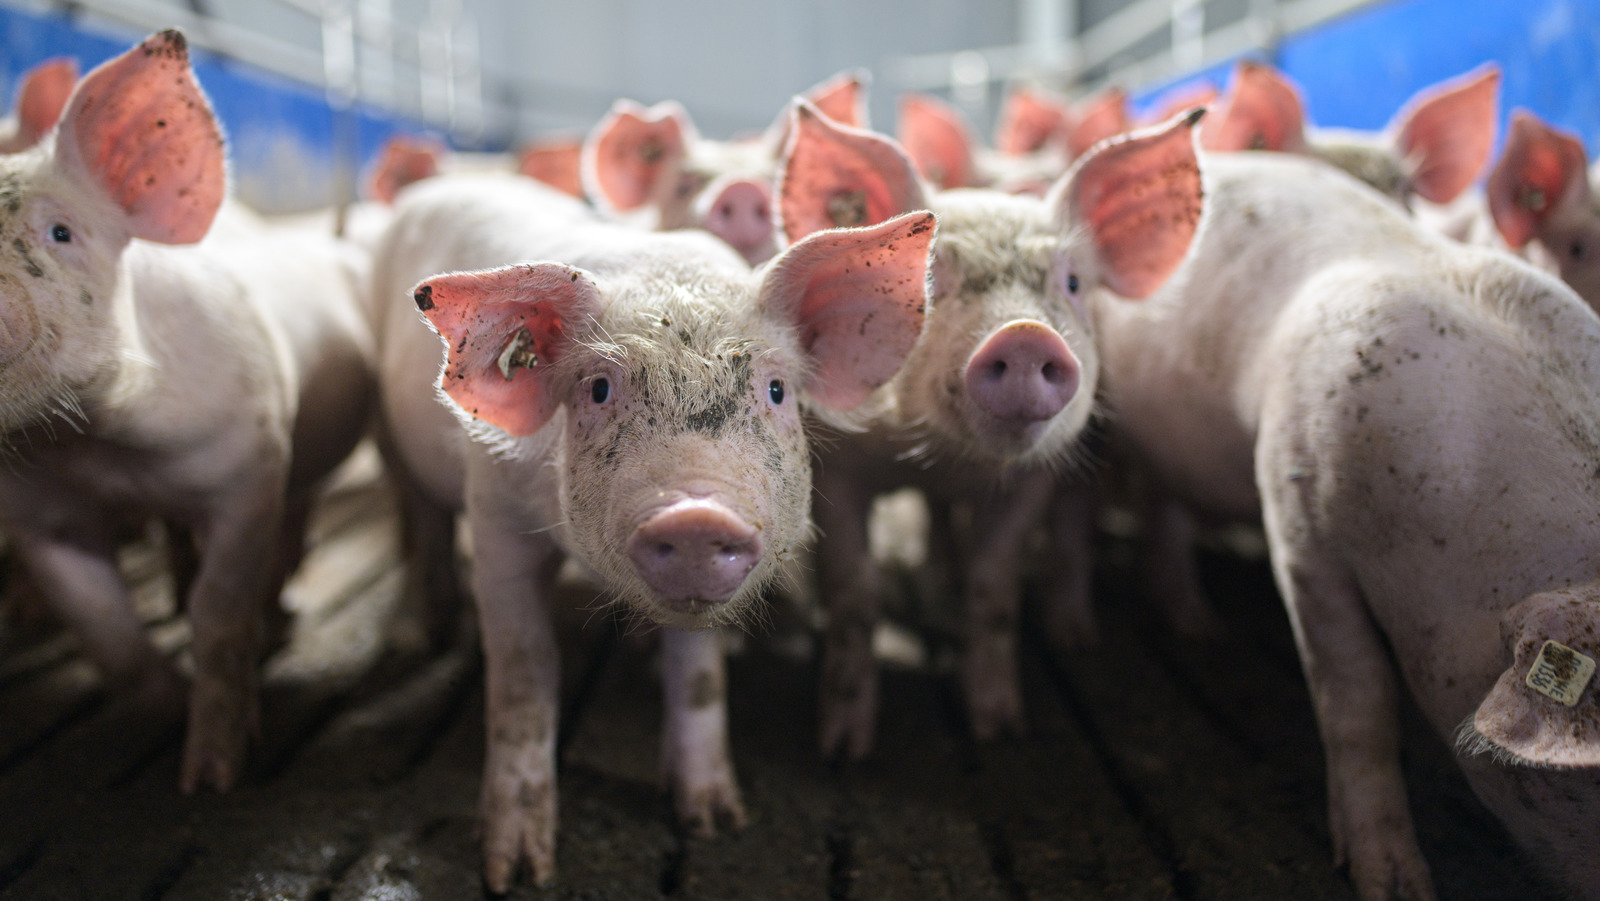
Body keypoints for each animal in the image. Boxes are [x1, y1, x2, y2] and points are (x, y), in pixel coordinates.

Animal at [0, 31, 375, 791]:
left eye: (61, 233)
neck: (95, 448)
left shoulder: (249, 464)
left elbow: (220, 613)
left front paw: (212, 777)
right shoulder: (38, 515)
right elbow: (107, 632)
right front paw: (171, 709)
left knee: (294, 520)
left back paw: (283, 612)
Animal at [370, 171, 936, 888]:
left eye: (777, 390)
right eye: (599, 389)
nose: (695, 514)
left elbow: (697, 672)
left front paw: (717, 822)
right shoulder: (496, 513)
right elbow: (525, 671)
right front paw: (517, 871)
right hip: (391, 436)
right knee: (421, 519)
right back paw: (426, 632)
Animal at [777, 101, 1204, 756]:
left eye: (1072, 283)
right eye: (931, 281)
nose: (1024, 335)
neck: (947, 458)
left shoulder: (1031, 483)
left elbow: (993, 588)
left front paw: (999, 729)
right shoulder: (841, 469)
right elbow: (854, 592)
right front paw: (843, 747)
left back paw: (1070, 633)